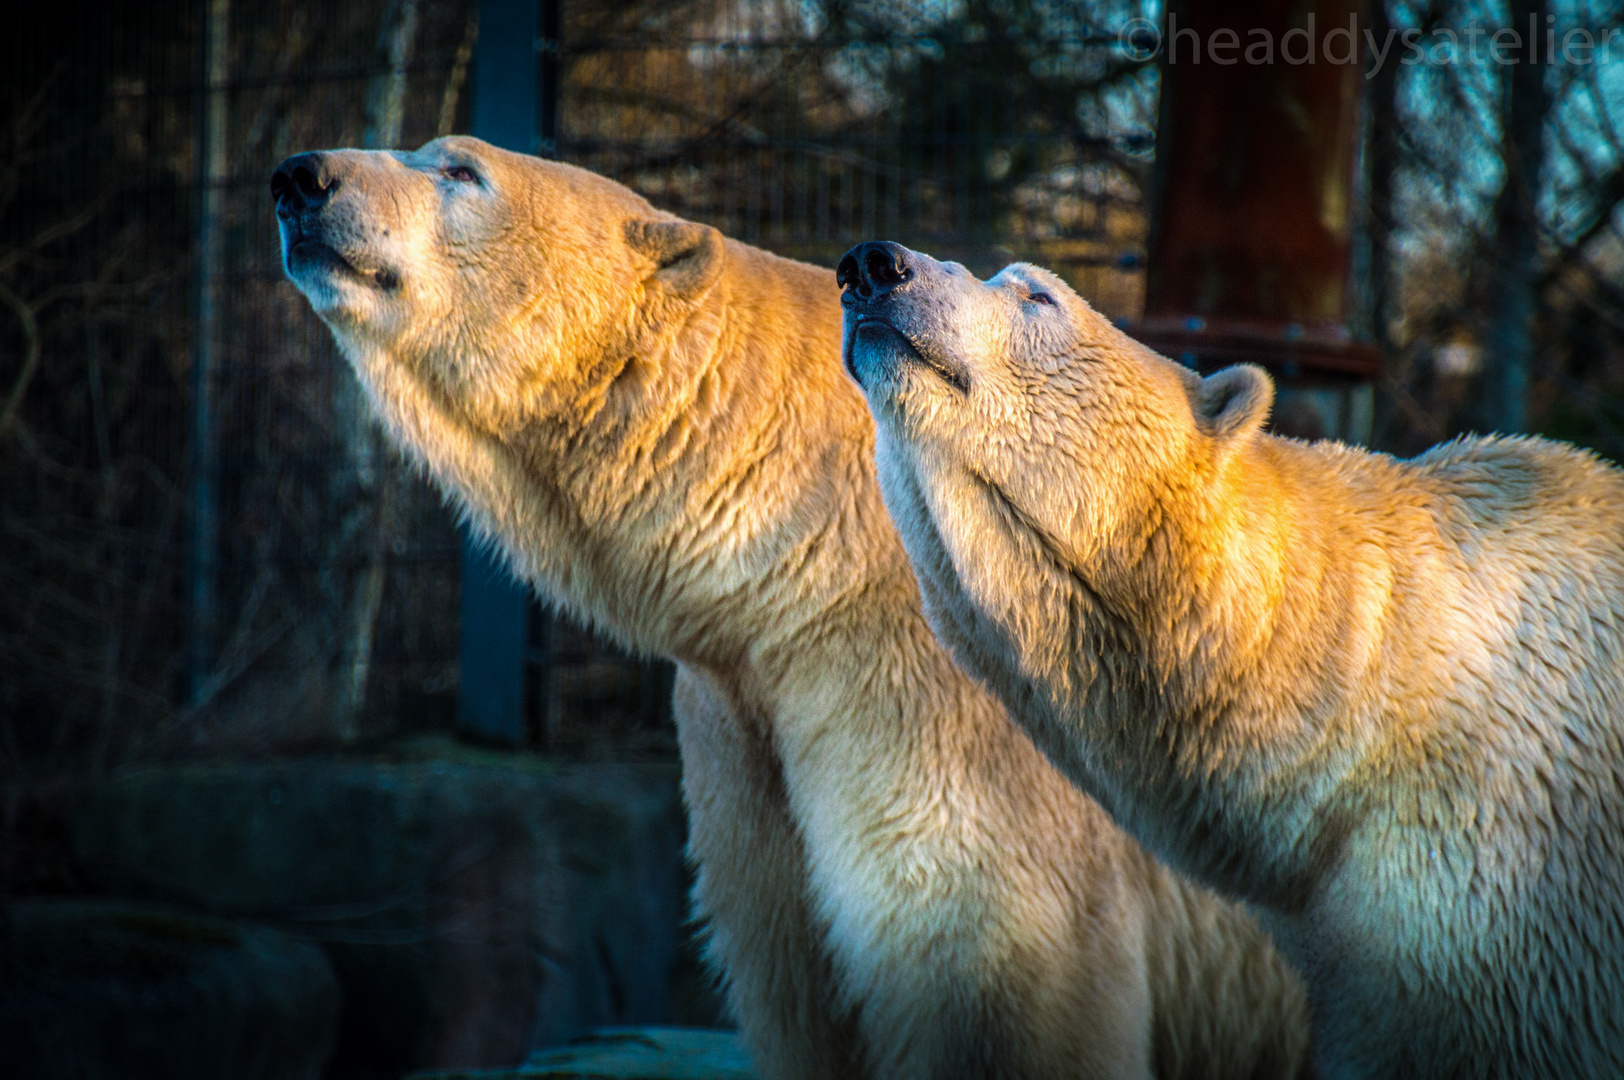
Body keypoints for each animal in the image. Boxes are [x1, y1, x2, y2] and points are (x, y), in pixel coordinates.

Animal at [272, 138, 1312, 1071]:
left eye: (460, 169)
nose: (301, 177)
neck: (806, 545)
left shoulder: (936, 699)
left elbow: (990, 963)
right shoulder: (741, 723)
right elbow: (795, 974)